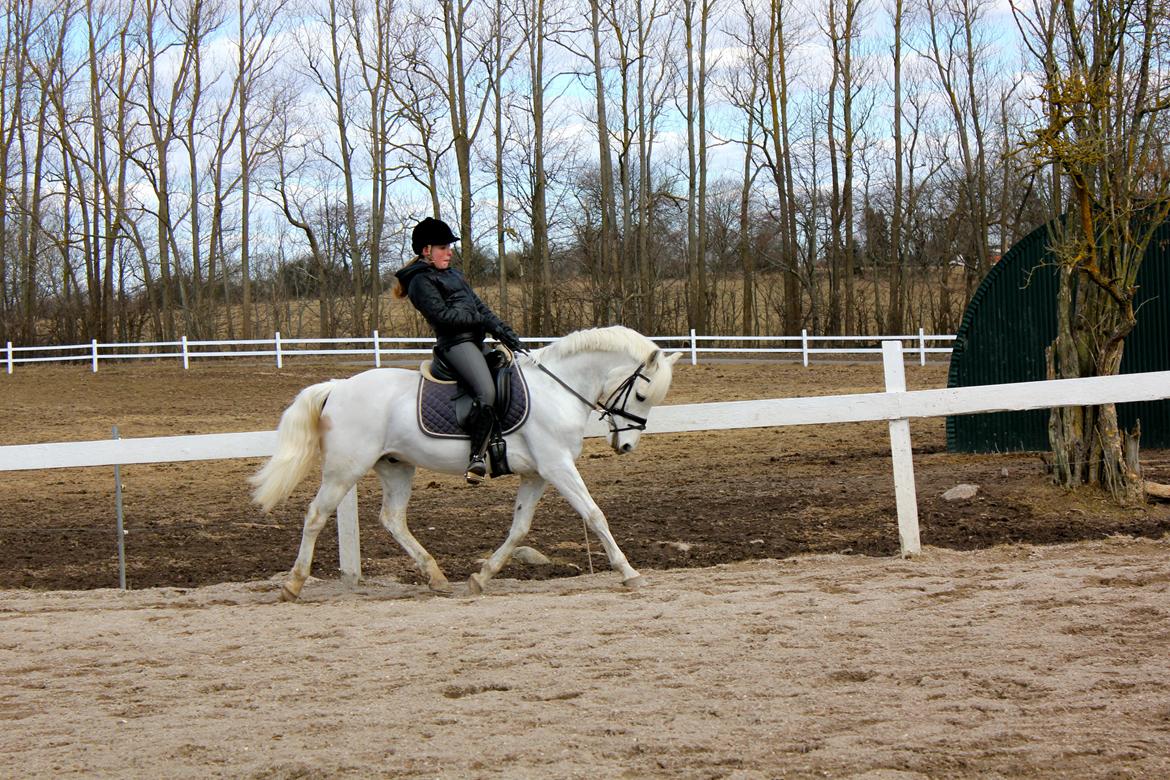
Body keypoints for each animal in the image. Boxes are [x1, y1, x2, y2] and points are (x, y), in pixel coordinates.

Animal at [251, 327, 683, 603]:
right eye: (641, 394)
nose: (626, 445)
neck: (556, 388)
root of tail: (338, 386)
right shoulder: (557, 466)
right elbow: (594, 515)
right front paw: (630, 574)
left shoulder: (536, 475)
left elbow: (519, 528)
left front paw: (481, 577)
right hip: (345, 469)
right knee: (316, 515)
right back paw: (292, 585)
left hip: (396, 467)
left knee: (393, 519)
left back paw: (437, 577)